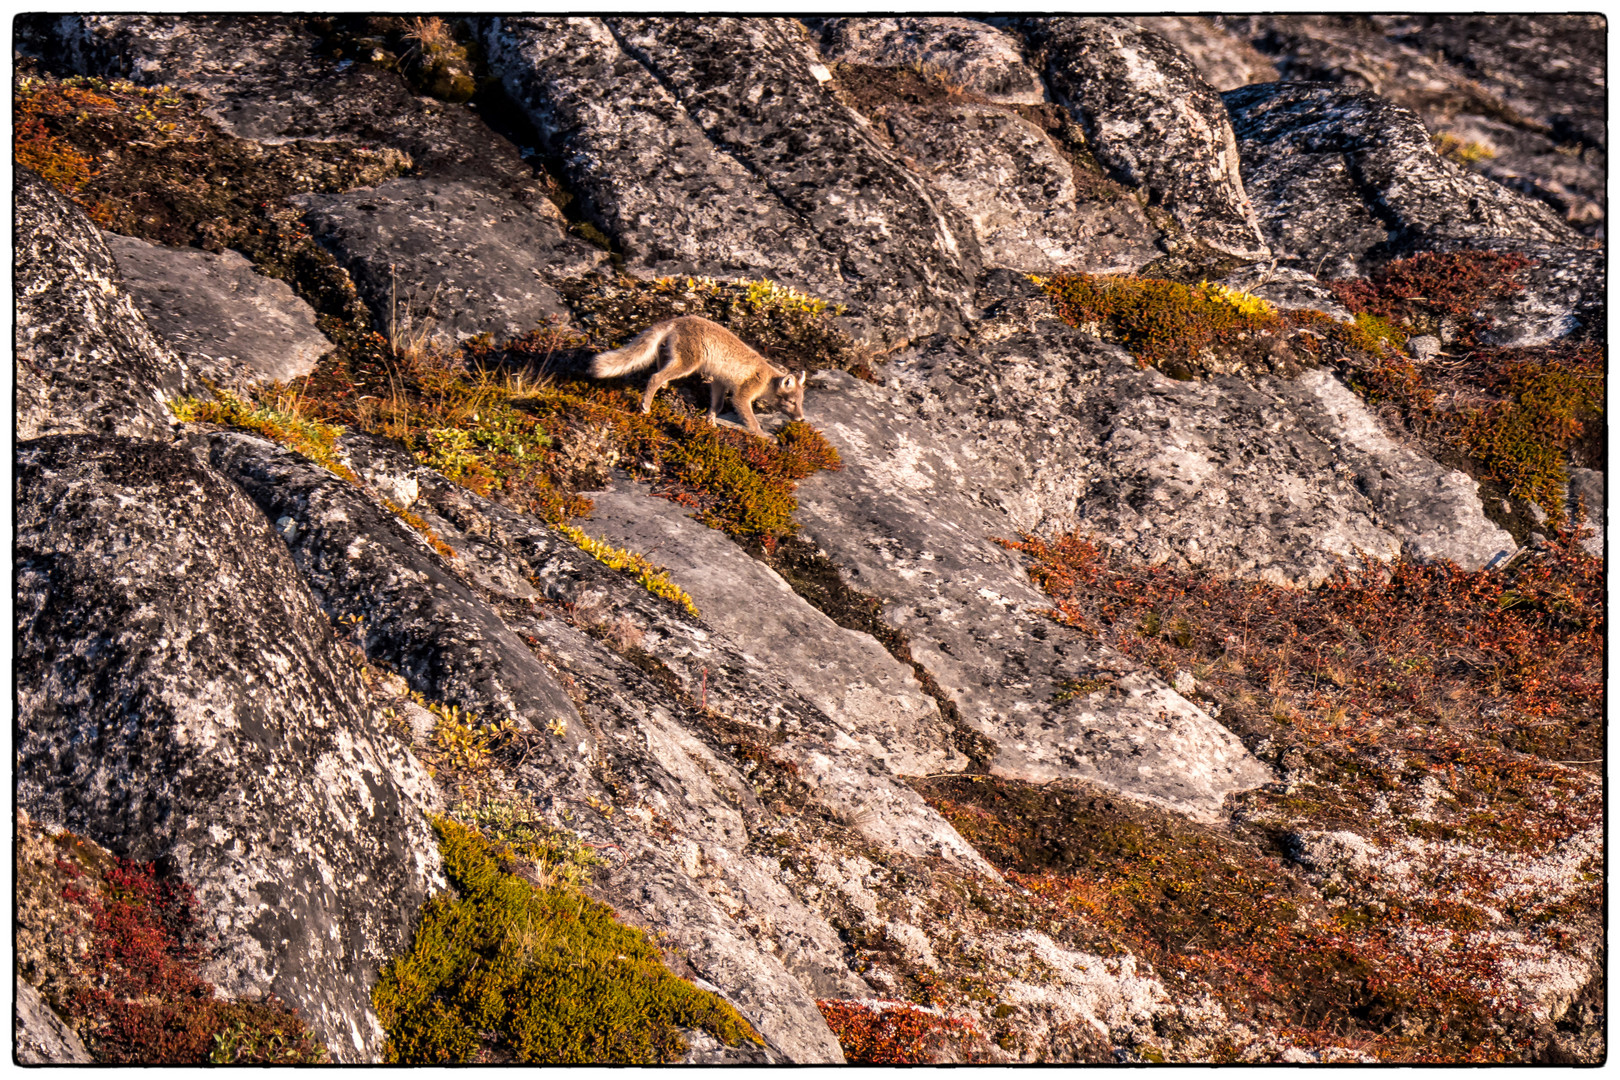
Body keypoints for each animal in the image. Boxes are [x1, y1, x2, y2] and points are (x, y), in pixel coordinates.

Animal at [586, 317, 806, 440]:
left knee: (660, 357)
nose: (802, 419)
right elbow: (751, 421)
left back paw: (664, 385)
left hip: (677, 357)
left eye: (801, 402)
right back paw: (646, 405)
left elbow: (717, 406)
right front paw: (763, 436)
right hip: (689, 363)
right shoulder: (742, 396)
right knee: (654, 377)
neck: (767, 379)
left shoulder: (718, 382)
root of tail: (680, 319)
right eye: (792, 402)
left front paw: (711, 423)